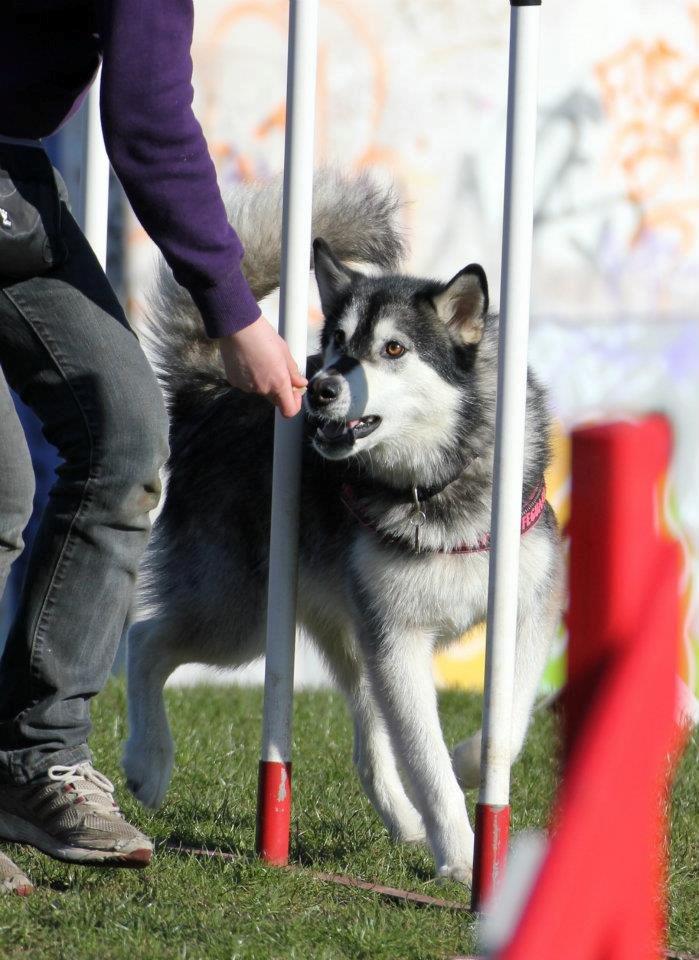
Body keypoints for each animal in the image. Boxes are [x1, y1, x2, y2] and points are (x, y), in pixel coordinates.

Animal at [123, 171, 568, 876]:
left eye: (393, 349)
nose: (322, 388)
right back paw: (148, 764)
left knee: (367, 746)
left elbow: (511, 720)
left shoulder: (527, 611)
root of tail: (213, 393)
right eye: (335, 341)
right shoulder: (399, 641)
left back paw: (404, 822)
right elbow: (427, 760)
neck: (437, 486)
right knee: (145, 641)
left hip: (335, 630)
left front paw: (472, 769)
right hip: (241, 619)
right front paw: (460, 857)